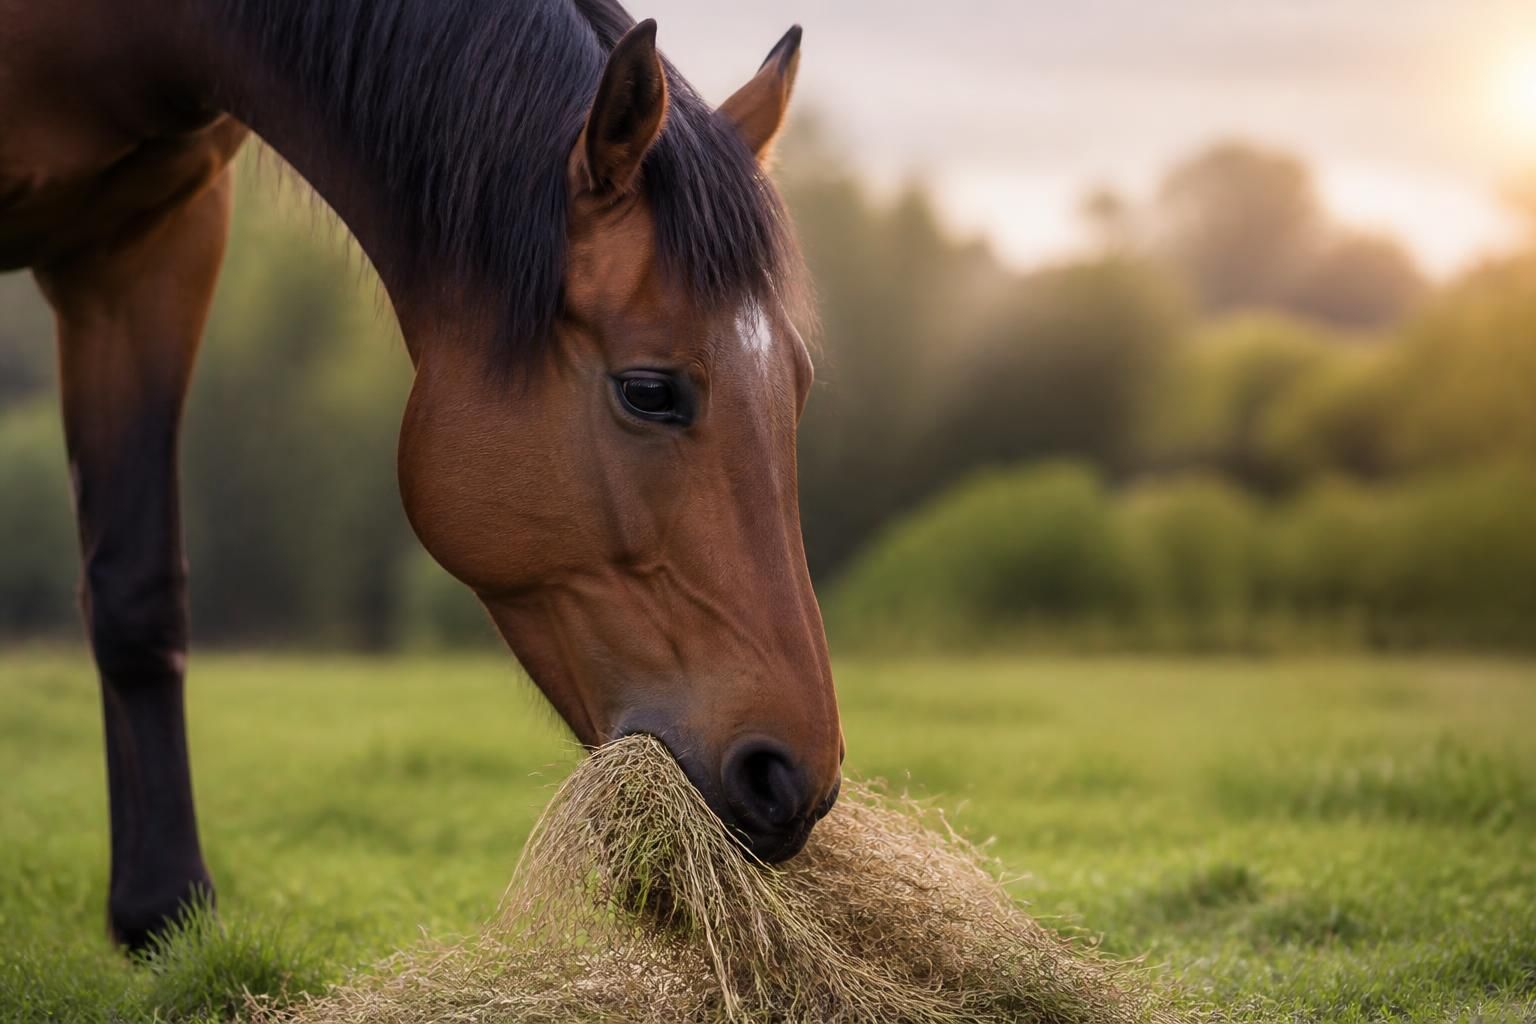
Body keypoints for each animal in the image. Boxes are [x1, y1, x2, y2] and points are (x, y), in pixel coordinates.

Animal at [0, 0, 842, 951]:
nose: (793, 778)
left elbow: (137, 591)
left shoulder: (150, 242)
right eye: (650, 391)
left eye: (799, 383)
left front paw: (162, 910)